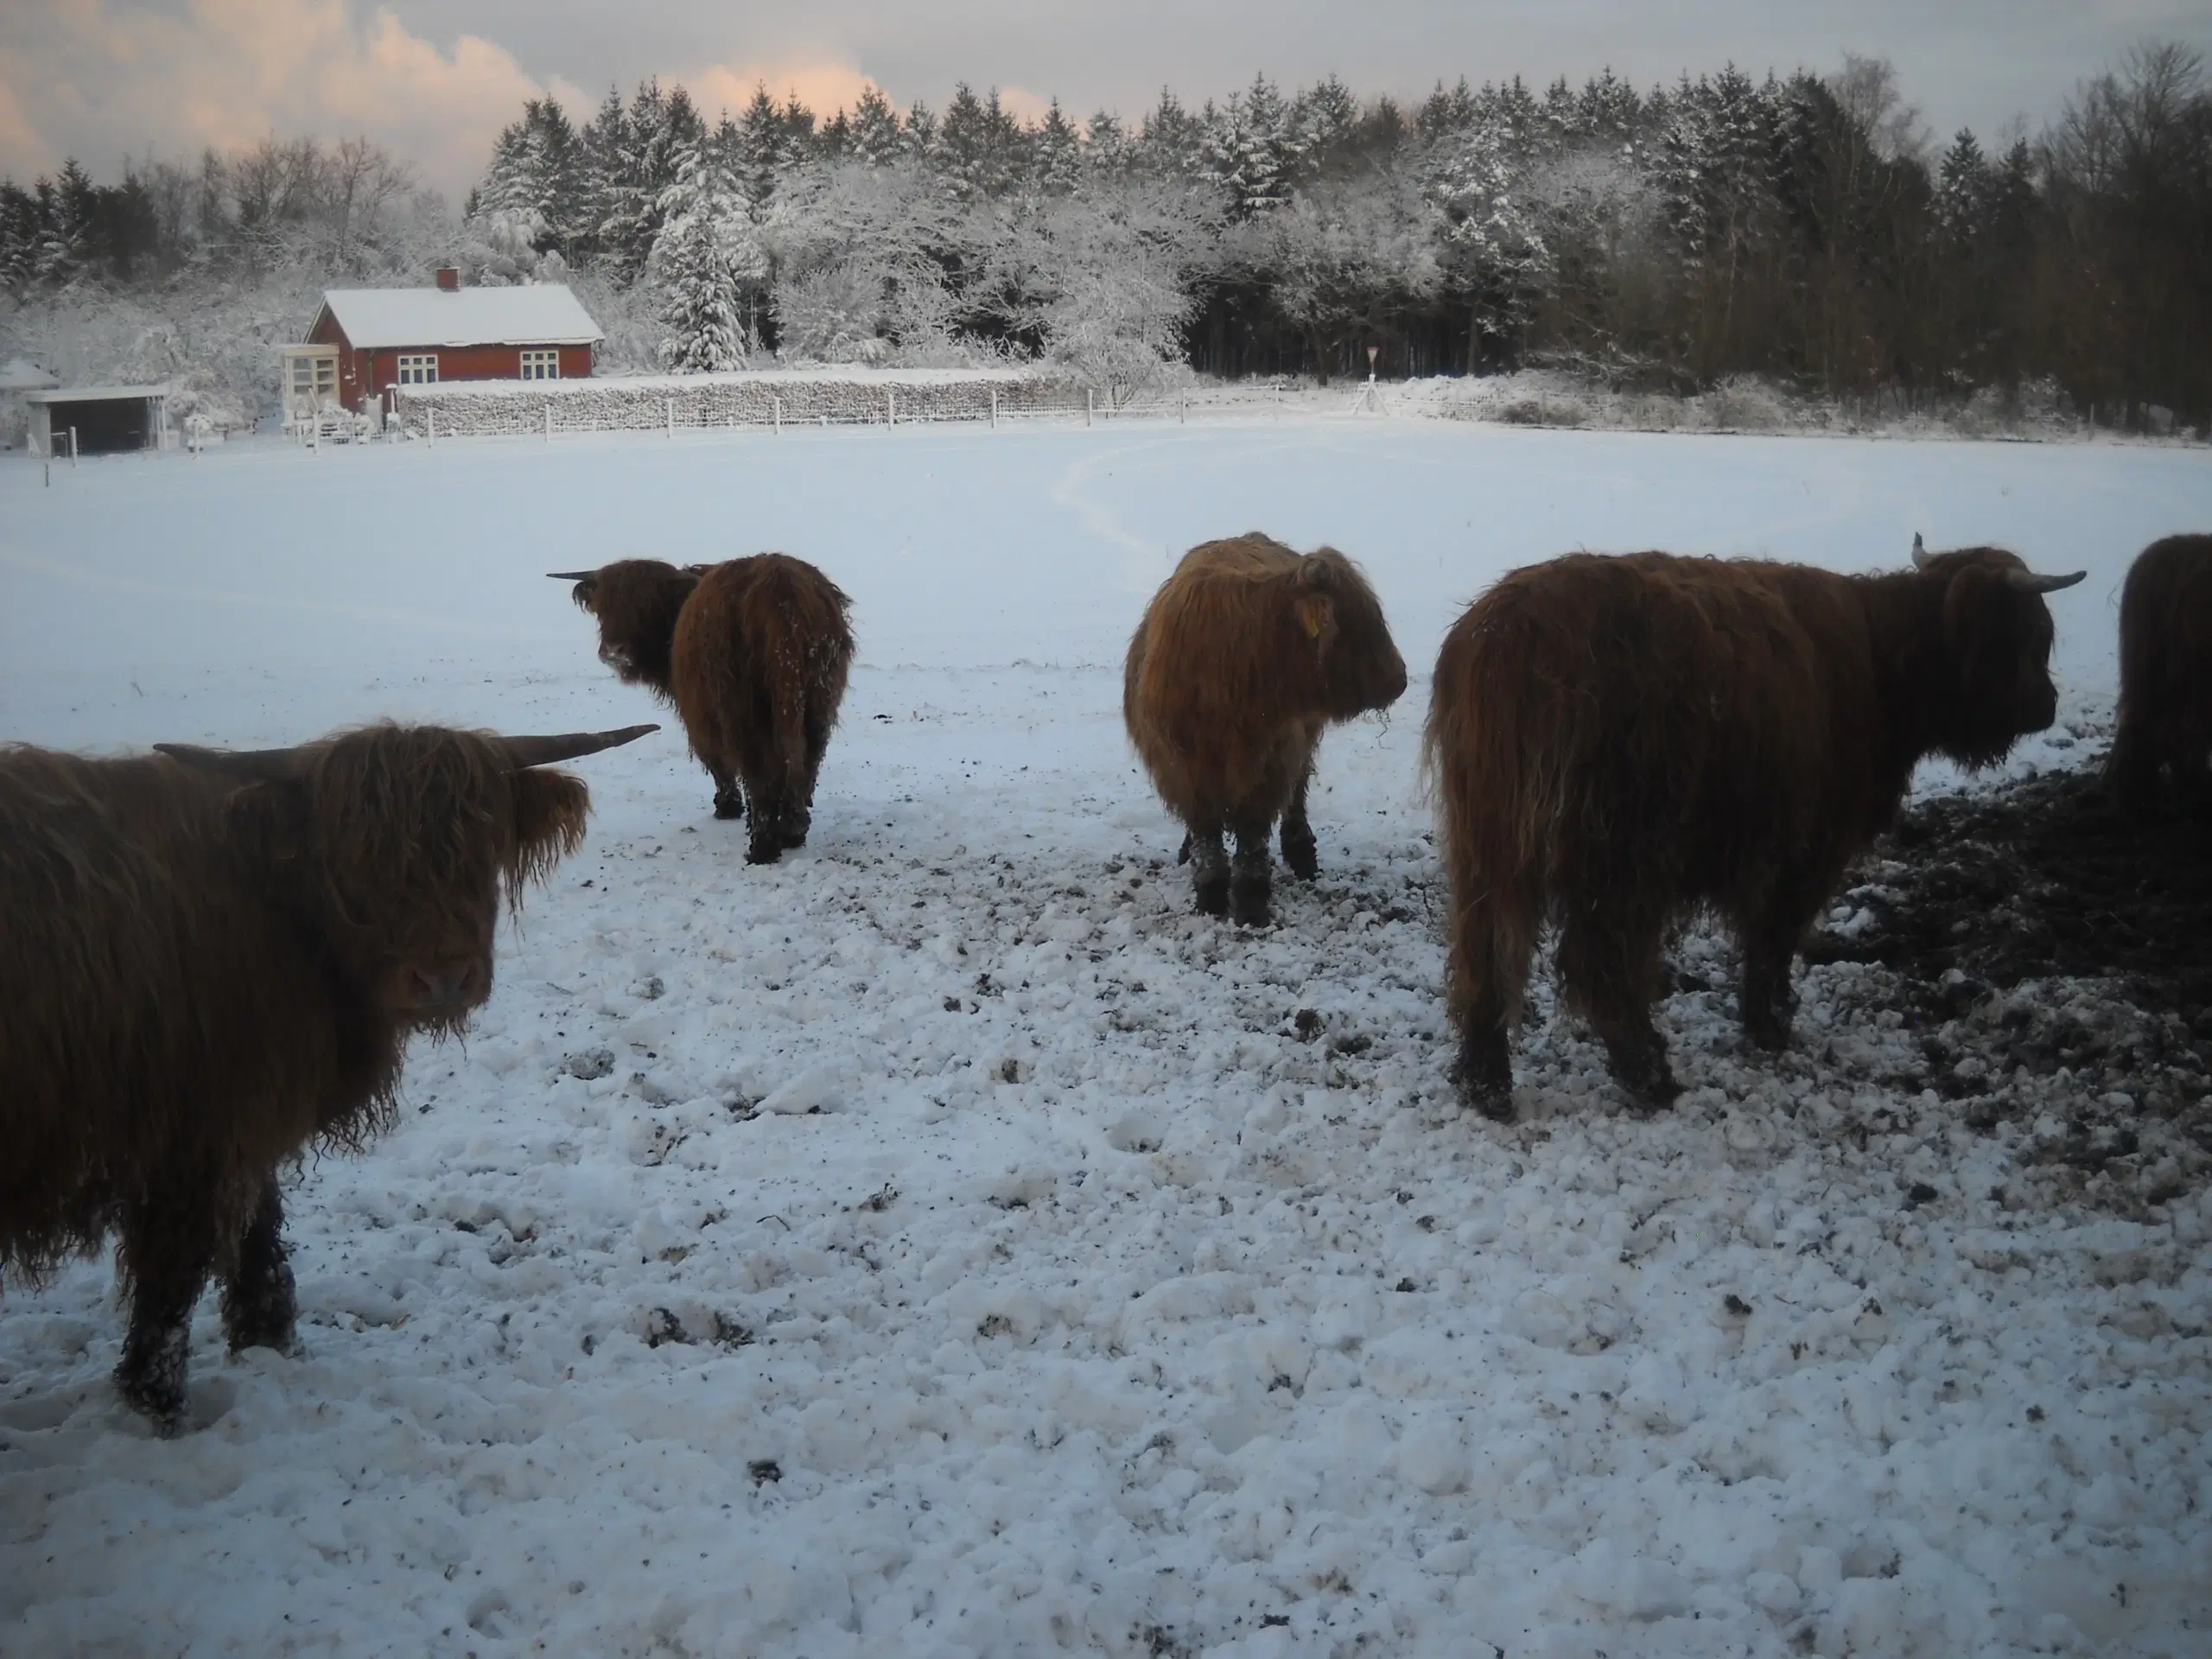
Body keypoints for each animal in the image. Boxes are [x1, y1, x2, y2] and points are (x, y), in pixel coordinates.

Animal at [0, 721, 650, 1433]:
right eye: (359, 861)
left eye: (481, 848)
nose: (444, 977)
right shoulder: (190, 1137)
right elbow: (173, 1280)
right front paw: (158, 1405)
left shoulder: (242, 1118)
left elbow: (257, 1231)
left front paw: (268, 1343)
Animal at [553, 559, 854, 871]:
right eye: (602, 606)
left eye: (645, 604)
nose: (614, 652)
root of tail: (779, 582)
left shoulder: (697, 715)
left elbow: (716, 762)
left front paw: (727, 806)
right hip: (817, 702)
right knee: (807, 758)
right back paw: (794, 830)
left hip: (742, 712)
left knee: (759, 772)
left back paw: (762, 848)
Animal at [1132, 532, 1407, 925]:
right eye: (1354, 622)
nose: (1400, 679)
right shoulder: (1184, 769)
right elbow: (1206, 838)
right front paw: (1210, 897)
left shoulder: (1270, 763)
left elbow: (1252, 837)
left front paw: (1251, 903)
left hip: (1303, 740)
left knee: (1297, 795)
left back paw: (1301, 852)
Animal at [1424, 539, 2079, 1123]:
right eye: (2030, 637)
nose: (2048, 705)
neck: (1882, 663)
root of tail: (1510, 633)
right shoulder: (1808, 846)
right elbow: (1774, 939)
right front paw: (1772, 1025)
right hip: (1625, 855)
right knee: (1601, 963)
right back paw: (1650, 1076)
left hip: (1486, 846)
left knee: (1483, 953)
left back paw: (1486, 1082)